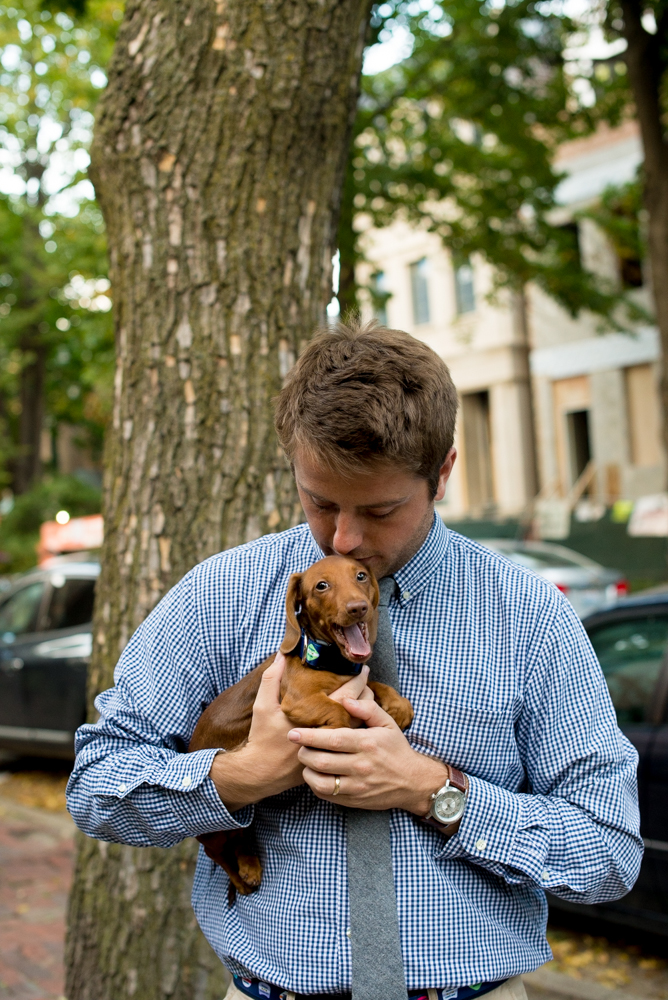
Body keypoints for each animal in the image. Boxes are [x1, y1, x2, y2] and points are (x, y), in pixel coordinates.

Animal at [185, 556, 410, 900]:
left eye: (360, 576)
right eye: (322, 585)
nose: (358, 608)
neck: (328, 659)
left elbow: (374, 685)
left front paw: (398, 705)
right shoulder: (300, 699)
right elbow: (338, 711)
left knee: (242, 837)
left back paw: (250, 866)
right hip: (215, 830)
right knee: (218, 851)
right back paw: (241, 878)